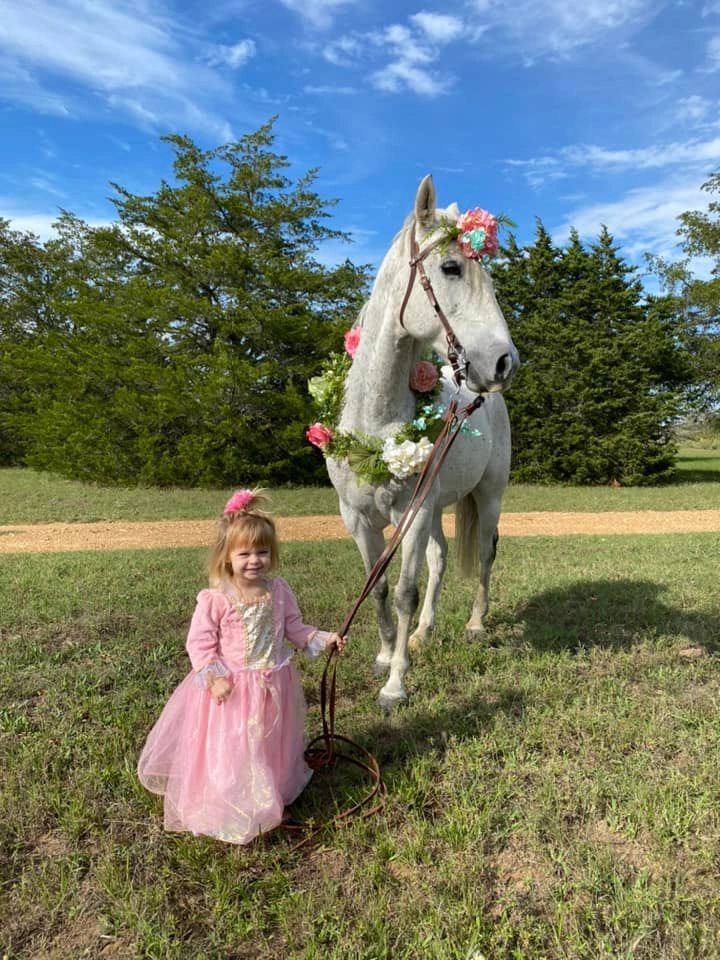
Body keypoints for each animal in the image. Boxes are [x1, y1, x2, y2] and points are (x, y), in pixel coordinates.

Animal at [326, 174, 518, 710]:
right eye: (450, 267)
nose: (504, 363)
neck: (375, 423)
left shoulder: (408, 516)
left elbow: (405, 592)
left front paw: (396, 685)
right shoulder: (358, 519)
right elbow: (378, 589)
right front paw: (385, 655)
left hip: (486, 496)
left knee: (485, 553)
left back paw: (475, 626)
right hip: (434, 508)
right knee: (440, 558)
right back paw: (423, 634)